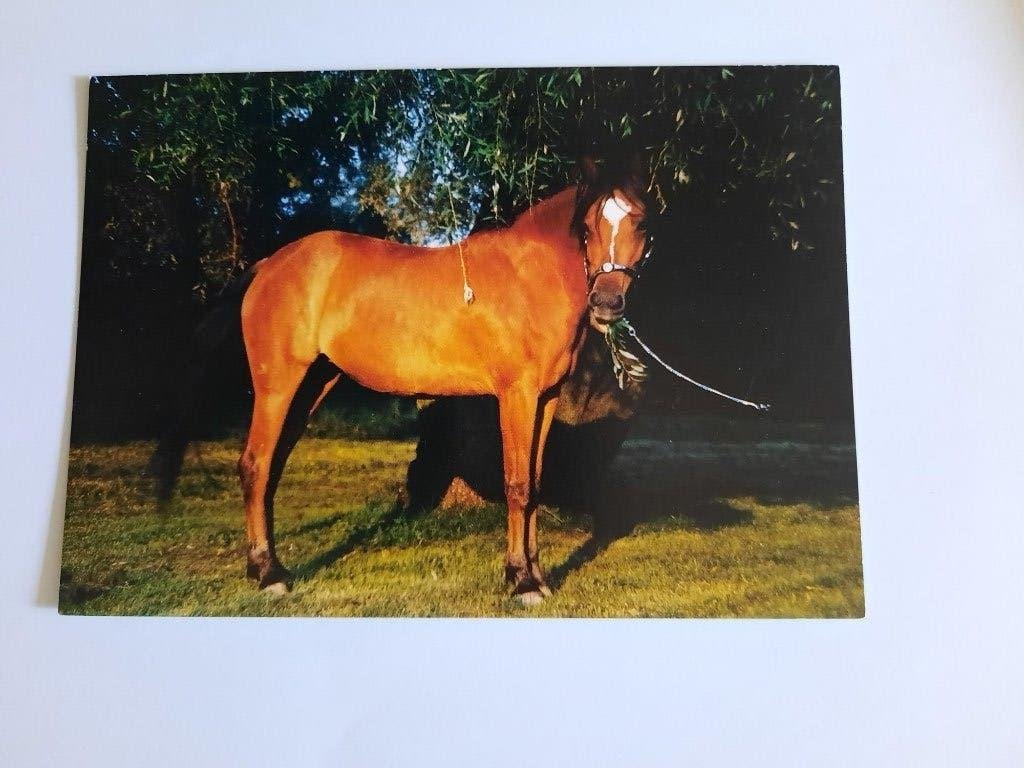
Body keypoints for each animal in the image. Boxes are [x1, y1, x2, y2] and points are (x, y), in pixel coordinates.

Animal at [228, 159, 649, 604]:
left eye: (641, 223)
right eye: (586, 227)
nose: (607, 303)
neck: (530, 276)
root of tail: (269, 264)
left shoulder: (546, 398)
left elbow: (534, 484)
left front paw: (537, 576)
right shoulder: (517, 395)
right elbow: (517, 485)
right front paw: (521, 580)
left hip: (313, 385)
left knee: (272, 467)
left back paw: (266, 566)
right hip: (277, 386)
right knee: (256, 465)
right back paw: (268, 573)